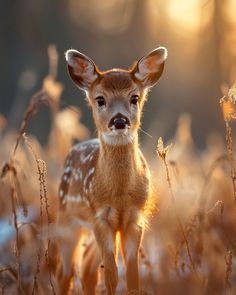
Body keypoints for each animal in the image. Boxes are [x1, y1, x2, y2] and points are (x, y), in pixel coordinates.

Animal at [56, 45, 168, 294]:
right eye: (100, 99)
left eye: (134, 97)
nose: (119, 120)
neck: (119, 196)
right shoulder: (100, 216)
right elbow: (111, 276)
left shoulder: (135, 217)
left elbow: (132, 276)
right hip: (68, 219)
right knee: (66, 273)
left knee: (87, 271)